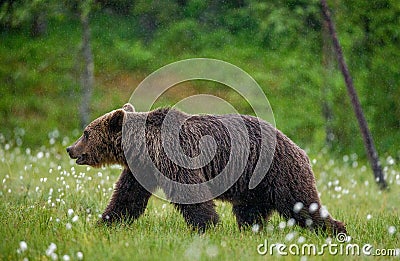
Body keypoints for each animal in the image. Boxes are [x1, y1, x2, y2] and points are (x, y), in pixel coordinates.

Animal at [66, 102, 346, 234]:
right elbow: (126, 198)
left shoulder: (177, 157)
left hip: (279, 172)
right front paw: (105, 222)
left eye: (86, 133)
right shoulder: (142, 169)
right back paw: (250, 231)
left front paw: (207, 226)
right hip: (252, 186)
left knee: (300, 204)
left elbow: (192, 193)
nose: (70, 149)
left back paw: (337, 230)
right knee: (250, 211)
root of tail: (299, 148)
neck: (145, 147)